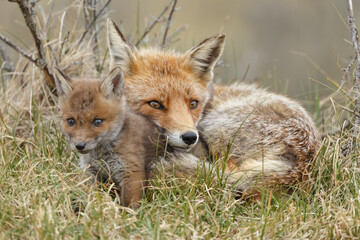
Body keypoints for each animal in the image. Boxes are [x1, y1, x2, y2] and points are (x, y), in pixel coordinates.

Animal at [106, 19, 320, 195]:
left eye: (193, 103)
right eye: (154, 104)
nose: (190, 137)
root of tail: (305, 159)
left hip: (215, 128)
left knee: (224, 172)